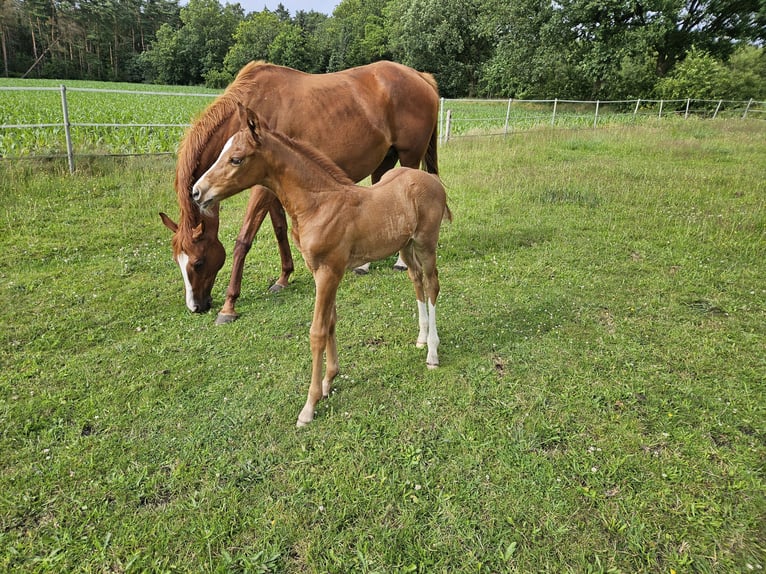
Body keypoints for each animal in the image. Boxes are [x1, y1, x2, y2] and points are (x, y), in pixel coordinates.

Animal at [159, 62, 440, 326]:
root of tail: (421, 77)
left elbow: (243, 241)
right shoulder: (272, 186)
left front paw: (229, 306)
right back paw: (363, 265)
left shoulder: (261, 189)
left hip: (409, 157)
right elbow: (280, 230)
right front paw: (283, 277)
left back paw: (400, 263)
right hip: (384, 161)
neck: (255, 104)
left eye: (198, 262)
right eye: (177, 261)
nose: (196, 306)